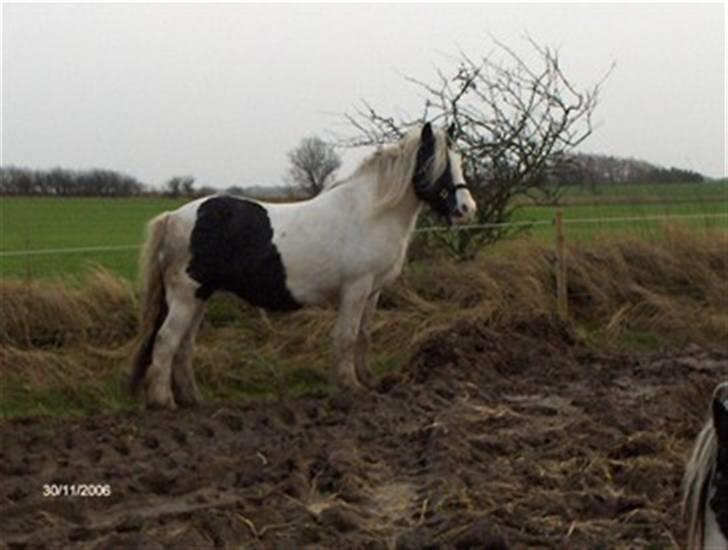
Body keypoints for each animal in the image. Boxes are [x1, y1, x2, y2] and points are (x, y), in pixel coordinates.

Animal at [131, 124, 478, 410]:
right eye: (436, 164)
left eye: (459, 159)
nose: (466, 208)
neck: (371, 212)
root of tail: (174, 217)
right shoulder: (356, 287)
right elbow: (347, 336)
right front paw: (350, 386)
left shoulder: (373, 291)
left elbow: (363, 336)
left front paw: (368, 381)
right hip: (186, 296)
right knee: (166, 341)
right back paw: (163, 402)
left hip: (200, 296)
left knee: (184, 345)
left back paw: (192, 400)